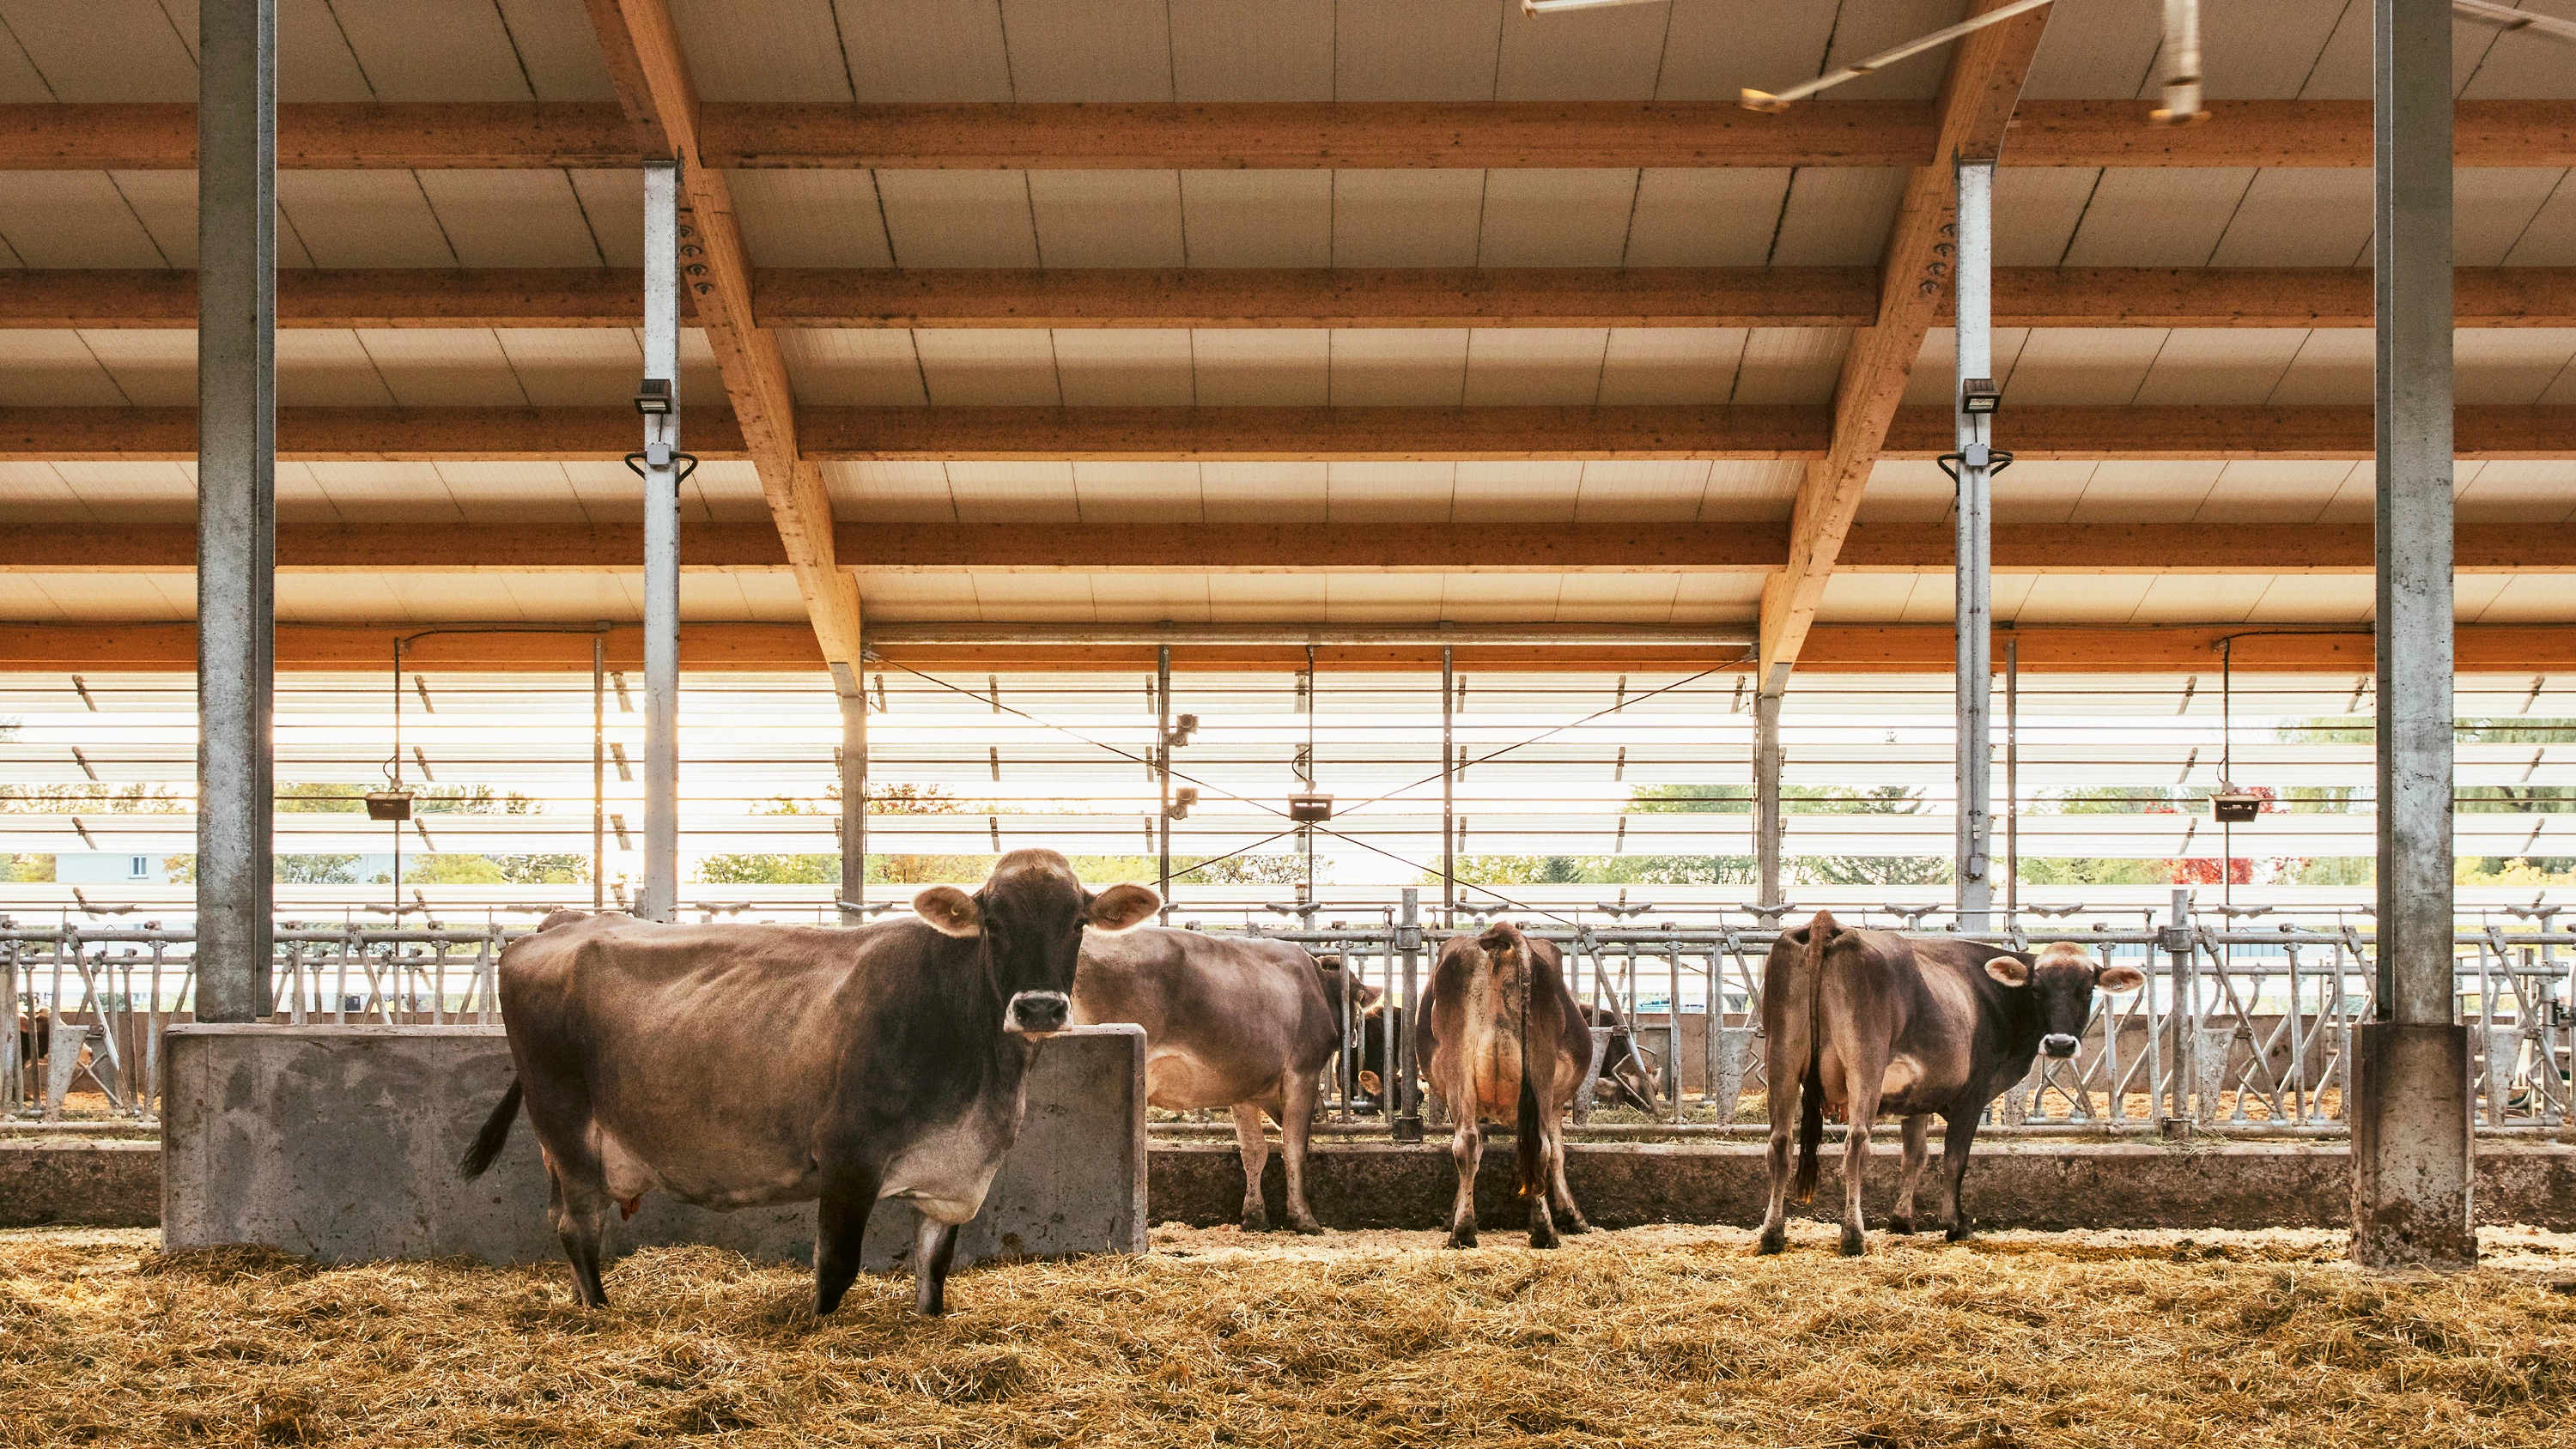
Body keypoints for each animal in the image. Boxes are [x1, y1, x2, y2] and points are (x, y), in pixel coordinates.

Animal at [464, 849, 1159, 1318]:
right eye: (993, 923)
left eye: (1078, 923)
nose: (1039, 1007)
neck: (984, 1085)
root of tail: (564, 923)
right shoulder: (849, 1158)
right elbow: (837, 1268)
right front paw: (816, 1330)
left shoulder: (954, 1177)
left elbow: (934, 1268)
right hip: (565, 1118)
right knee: (579, 1222)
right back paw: (602, 1312)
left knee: (564, 1217)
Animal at [1412, 931, 1587, 1246]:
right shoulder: (1555, 1103)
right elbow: (1557, 1153)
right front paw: (1571, 1215)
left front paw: (1453, 1215)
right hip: (1539, 1077)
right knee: (1538, 1146)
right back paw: (1543, 1231)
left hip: (1460, 1072)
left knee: (1467, 1142)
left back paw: (1463, 1231)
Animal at [1752, 916, 2154, 1261]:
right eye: (2037, 989)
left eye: (2087, 991)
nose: (2059, 1044)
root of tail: (1828, 923)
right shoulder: (1971, 1097)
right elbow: (1954, 1159)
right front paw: (1955, 1224)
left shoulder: (1915, 1099)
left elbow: (1914, 1156)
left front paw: (1902, 1220)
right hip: (1864, 1062)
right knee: (1856, 1144)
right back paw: (1853, 1236)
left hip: (1782, 1056)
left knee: (1780, 1143)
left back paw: (1772, 1234)